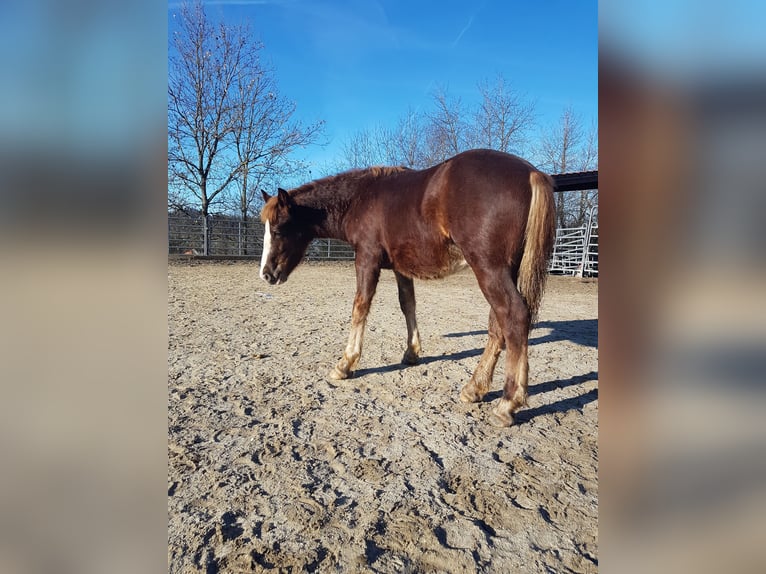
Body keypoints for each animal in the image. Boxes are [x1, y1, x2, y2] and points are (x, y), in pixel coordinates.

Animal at [260, 150, 556, 428]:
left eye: (278, 229)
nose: (266, 274)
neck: (362, 198)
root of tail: (531, 173)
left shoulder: (366, 259)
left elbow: (360, 307)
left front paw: (345, 364)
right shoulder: (401, 268)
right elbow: (407, 304)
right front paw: (411, 353)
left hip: (489, 269)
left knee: (514, 317)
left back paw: (507, 403)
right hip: (503, 271)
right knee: (498, 324)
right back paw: (475, 388)